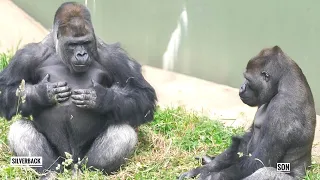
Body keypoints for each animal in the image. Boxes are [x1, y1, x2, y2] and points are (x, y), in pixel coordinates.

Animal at [0, 1, 156, 178]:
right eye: (73, 44)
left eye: (86, 42)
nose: (81, 54)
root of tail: (71, 163)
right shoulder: (27, 56)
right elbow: (5, 90)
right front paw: (42, 93)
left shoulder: (114, 56)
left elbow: (143, 95)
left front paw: (101, 98)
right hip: (61, 161)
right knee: (20, 129)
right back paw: (49, 171)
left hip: (81, 159)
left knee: (122, 133)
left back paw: (90, 172)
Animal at [179, 46, 316, 180]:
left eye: (248, 79)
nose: (241, 87)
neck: (282, 82)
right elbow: (246, 140)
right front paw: (206, 168)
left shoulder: (282, 109)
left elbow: (259, 162)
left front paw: (209, 176)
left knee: (265, 172)